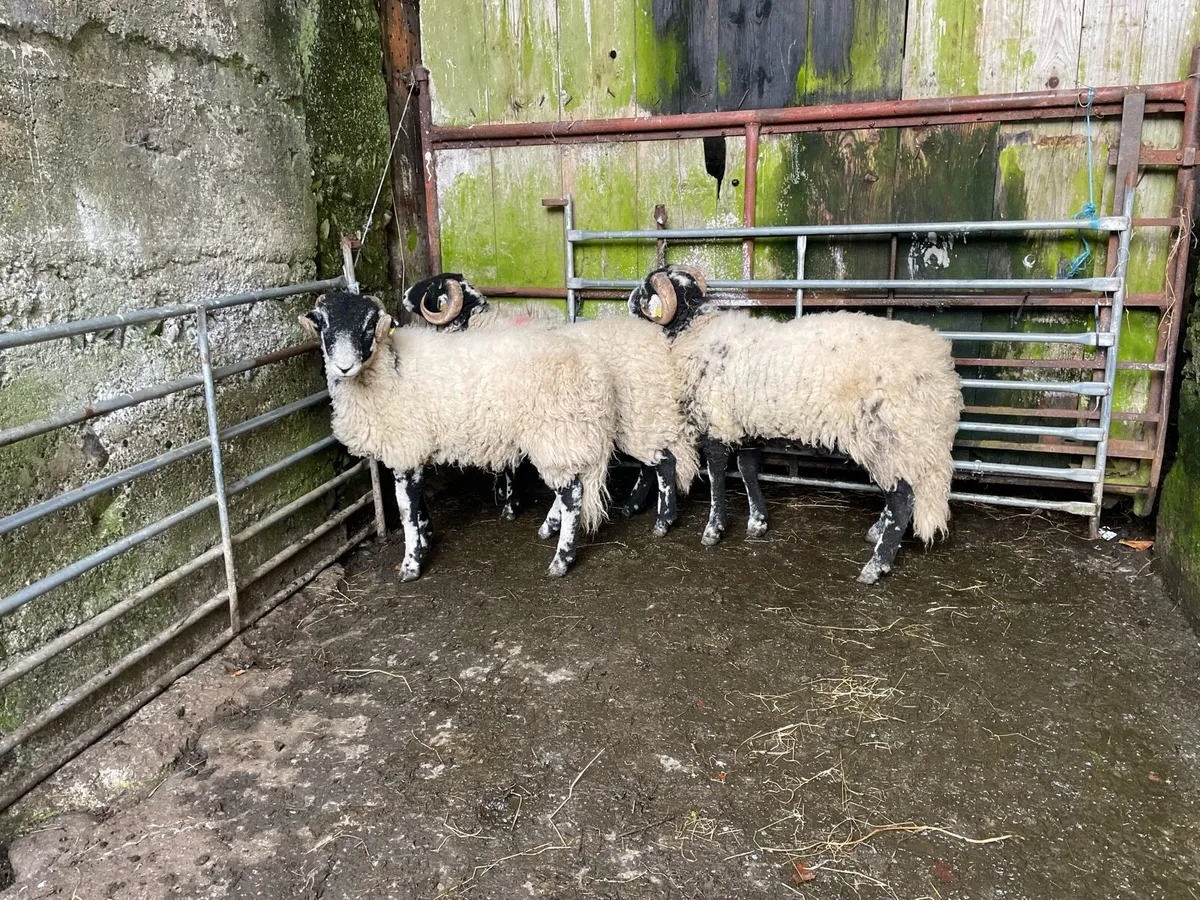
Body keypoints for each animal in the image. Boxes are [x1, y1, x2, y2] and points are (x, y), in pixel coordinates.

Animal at [300, 290, 616, 579]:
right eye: (323, 324)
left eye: (369, 324)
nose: (344, 367)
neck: (389, 370)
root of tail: (593, 369)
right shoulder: (414, 451)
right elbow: (418, 505)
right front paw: (426, 540)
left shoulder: (405, 449)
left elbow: (406, 510)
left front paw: (411, 564)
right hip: (567, 437)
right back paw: (550, 529)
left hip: (555, 432)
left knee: (573, 495)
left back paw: (561, 560)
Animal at [402, 274, 700, 539]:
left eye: (432, 285)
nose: (404, 296)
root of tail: (657, 342)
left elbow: (510, 467)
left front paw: (511, 506)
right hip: (644, 415)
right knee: (654, 463)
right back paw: (633, 507)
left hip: (635, 414)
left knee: (663, 463)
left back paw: (661, 522)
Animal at [629, 265, 963, 584]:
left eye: (647, 290)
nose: (630, 303)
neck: (695, 330)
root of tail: (941, 370)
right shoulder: (747, 424)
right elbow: (748, 469)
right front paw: (758, 522)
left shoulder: (717, 422)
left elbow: (717, 474)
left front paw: (714, 529)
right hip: (907, 442)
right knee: (903, 493)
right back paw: (877, 534)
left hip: (888, 433)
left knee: (901, 498)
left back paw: (876, 566)